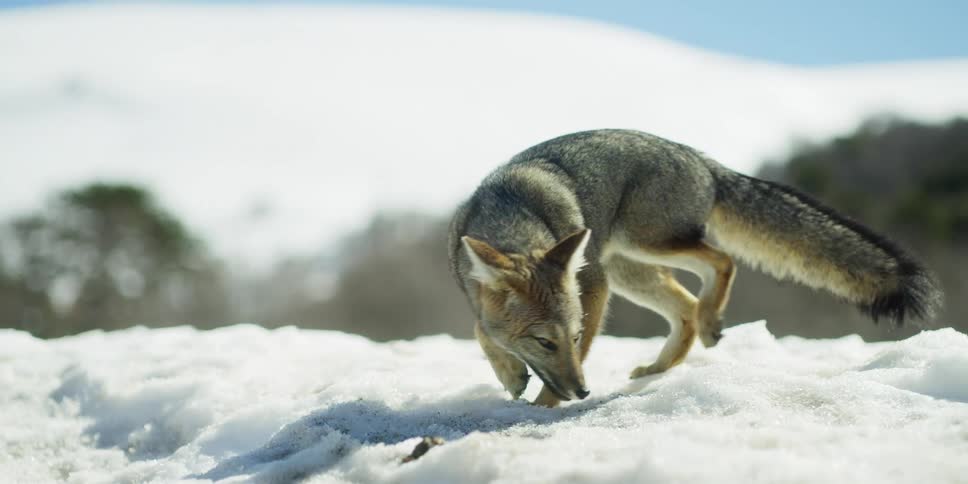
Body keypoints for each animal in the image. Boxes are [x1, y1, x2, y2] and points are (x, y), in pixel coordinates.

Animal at [448, 129, 941, 407]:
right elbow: (480, 330)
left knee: (721, 261)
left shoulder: (593, 289)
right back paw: (662, 365)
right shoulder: (475, 295)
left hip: (643, 246)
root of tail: (702, 158)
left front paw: (542, 406)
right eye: (545, 343)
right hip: (630, 269)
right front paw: (512, 375)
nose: (585, 393)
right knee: (684, 307)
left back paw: (710, 321)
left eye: (572, 337)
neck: (514, 213)